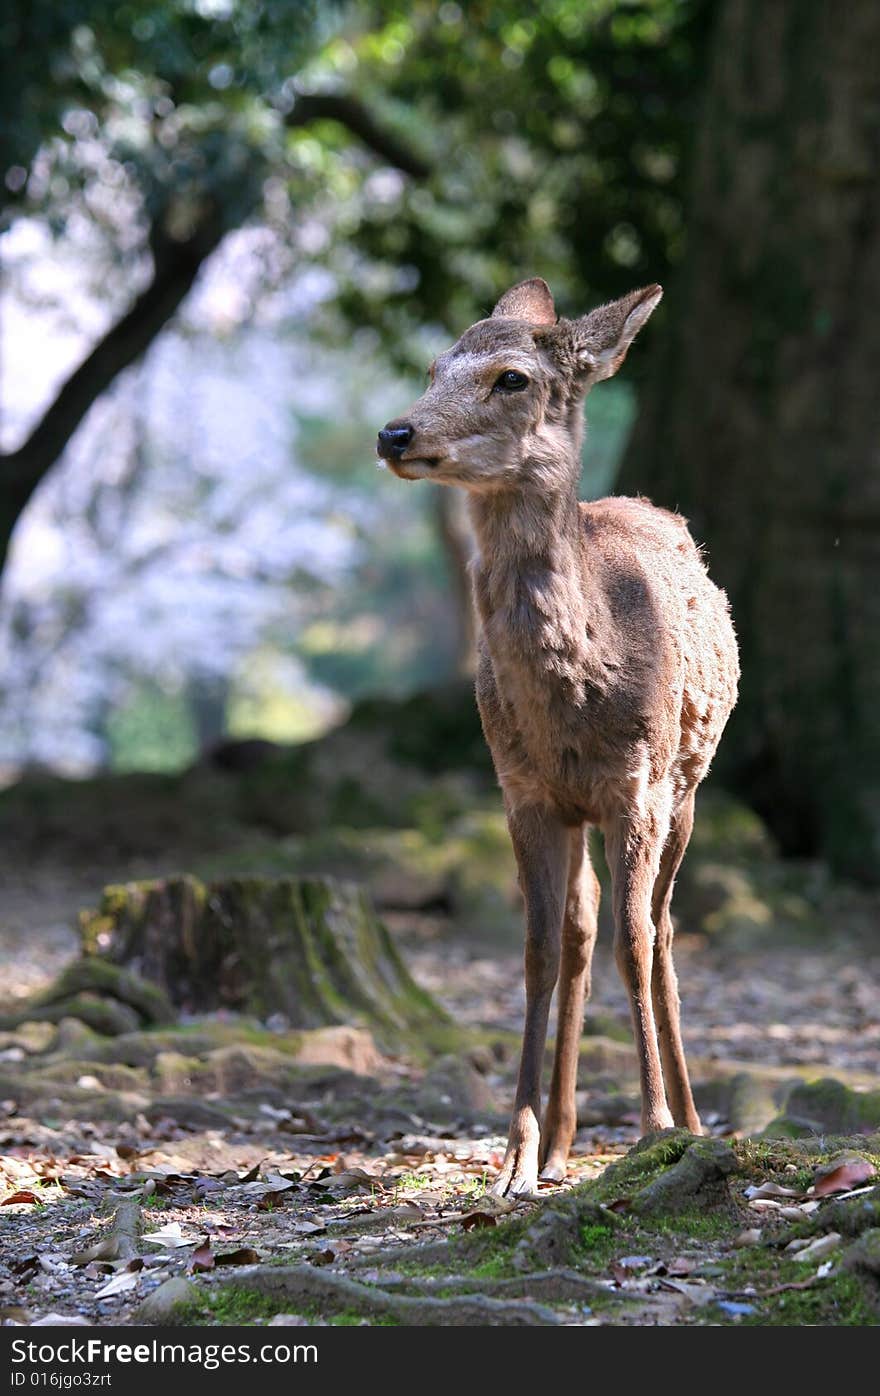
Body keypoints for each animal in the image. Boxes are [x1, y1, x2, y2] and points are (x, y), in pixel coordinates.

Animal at [377, 277, 743, 1194]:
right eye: (433, 366)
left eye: (512, 378)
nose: (396, 431)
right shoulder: (522, 791)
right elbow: (540, 950)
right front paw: (514, 1154)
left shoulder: (637, 786)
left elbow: (634, 943)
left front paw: (653, 1133)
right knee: (581, 931)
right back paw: (563, 1141)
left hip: (690, 785)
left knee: (662, 928)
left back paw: (690, 1118)